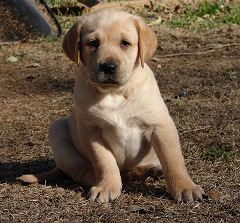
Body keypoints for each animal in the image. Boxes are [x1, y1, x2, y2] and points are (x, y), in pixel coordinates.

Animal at [19, 7, 205, 203]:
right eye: (92, 43)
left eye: (125, 43)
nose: (108, 66)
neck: (114, 94)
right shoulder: (91, 131)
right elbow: (104, 161)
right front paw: (107, 186)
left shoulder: (160, 124)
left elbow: (173, 160)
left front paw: (185, 187)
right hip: (57, 130)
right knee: (82, 171)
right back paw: (104, 179)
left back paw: (149, 170)